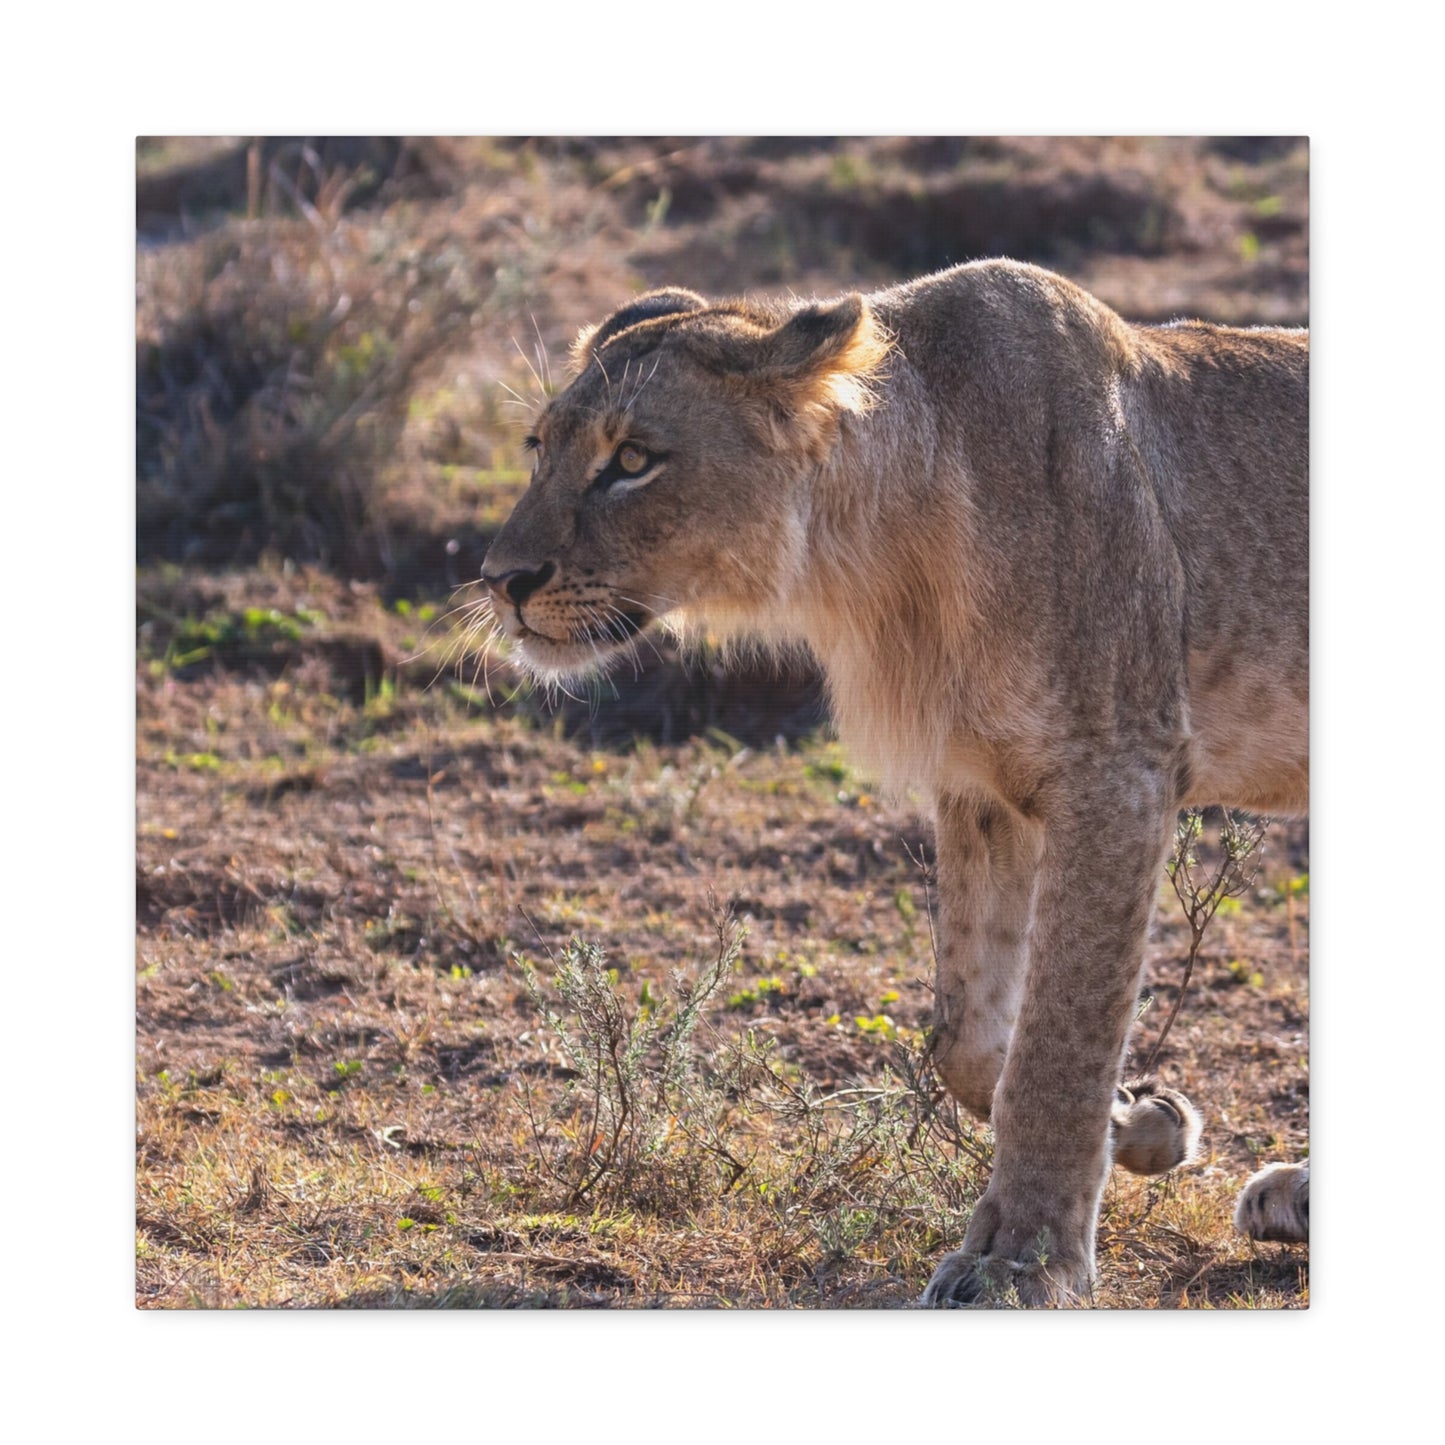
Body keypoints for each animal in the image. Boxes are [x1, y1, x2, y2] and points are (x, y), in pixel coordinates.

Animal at [481, 259, 1309, 1305]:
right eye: (537, 448)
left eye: (632, 458)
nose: (498, 578)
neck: (879, 560)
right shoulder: (981, 787)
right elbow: (970, 1040)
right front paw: (1143, 1123)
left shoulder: (1119, 766)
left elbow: (1059, 1042)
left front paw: (1019, 1261)